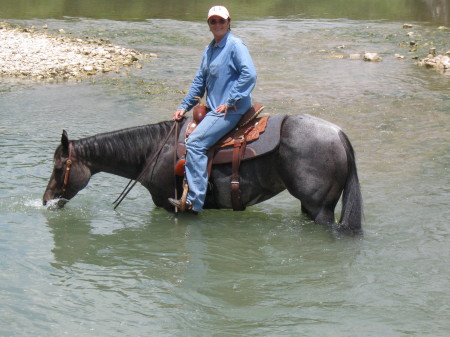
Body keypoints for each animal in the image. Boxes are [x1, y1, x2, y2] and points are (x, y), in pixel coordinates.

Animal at [44, 113, 364, 231]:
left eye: (58, 167)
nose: (47, 199)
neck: (152, 150)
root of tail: (338, 134)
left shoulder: (171, 206)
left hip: (320, 209)